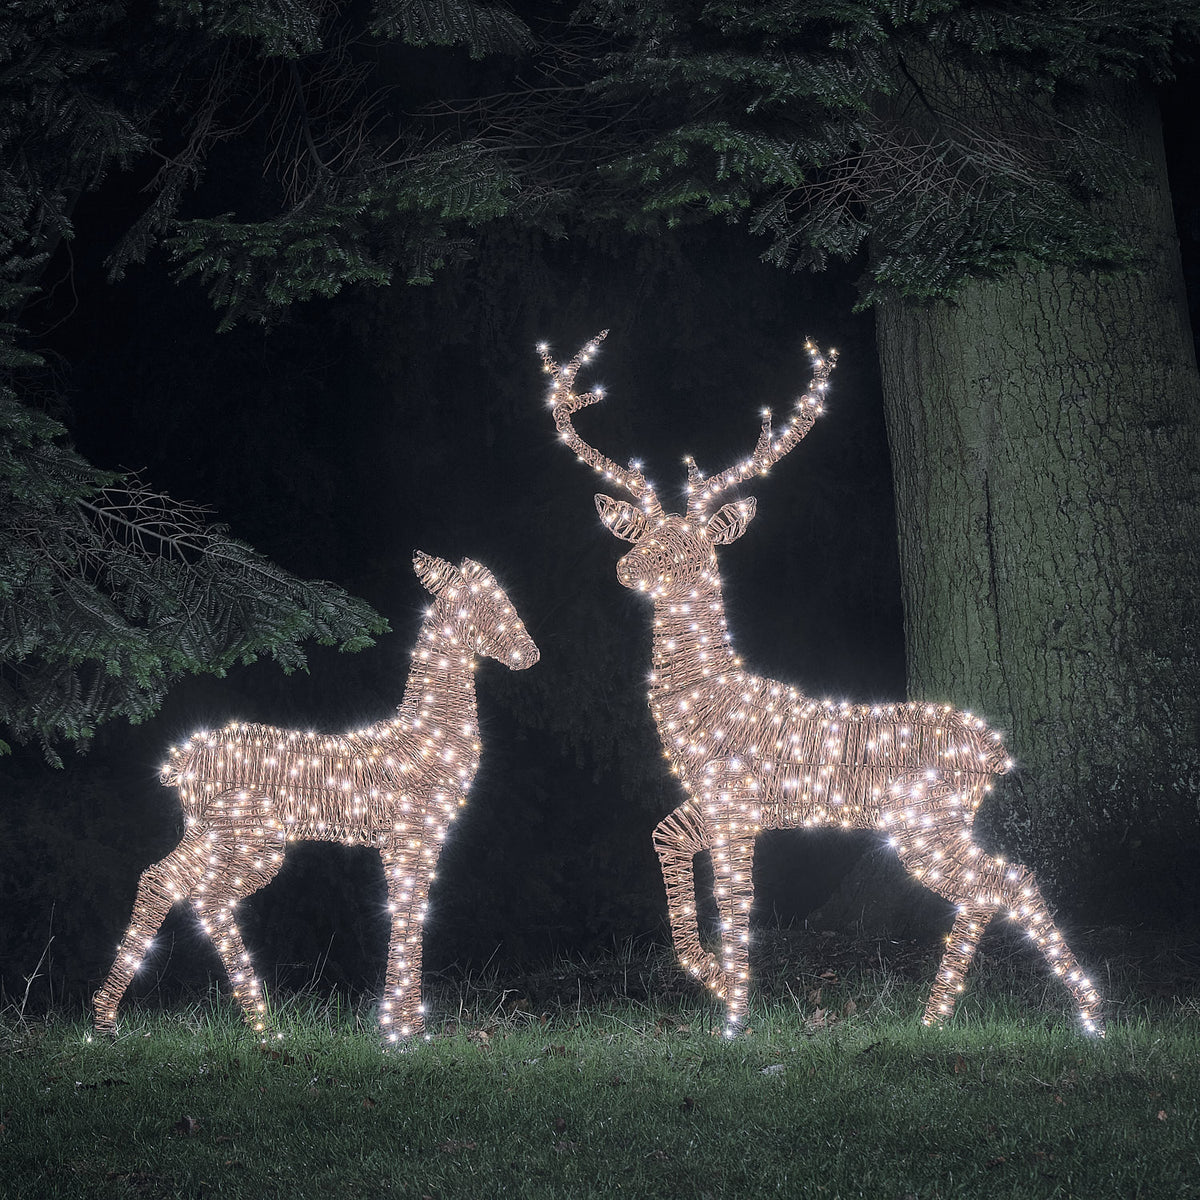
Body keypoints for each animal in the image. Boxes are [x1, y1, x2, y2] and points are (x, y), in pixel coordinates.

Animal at [93, 552, 539, 1044]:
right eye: (486, 602)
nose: (530, 653)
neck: (426, 737)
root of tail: (183, 760)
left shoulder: (407, 838)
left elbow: (408, 908)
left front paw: (404, 1024)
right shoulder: (413, 831)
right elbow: (407, 908)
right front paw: (403, 1033)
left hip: (207, 832)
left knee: (161, 879)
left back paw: (107, 1019)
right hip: (252, 836)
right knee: (208, 896)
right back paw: (262, 1023)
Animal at [540, 332, 1103, 1037]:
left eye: (696, 547)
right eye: (648, 533)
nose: (629, 565)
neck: (705, 701)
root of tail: (996, 752)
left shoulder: (736, 800)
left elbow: (737, 899)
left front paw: (734, 1015)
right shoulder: (712, 801)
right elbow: (664, 839)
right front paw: (712, 979)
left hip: (925, 819)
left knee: (1007, 881)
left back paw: (1083, 1011)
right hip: (934, 822)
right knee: (997, 883)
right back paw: (941, 1016)